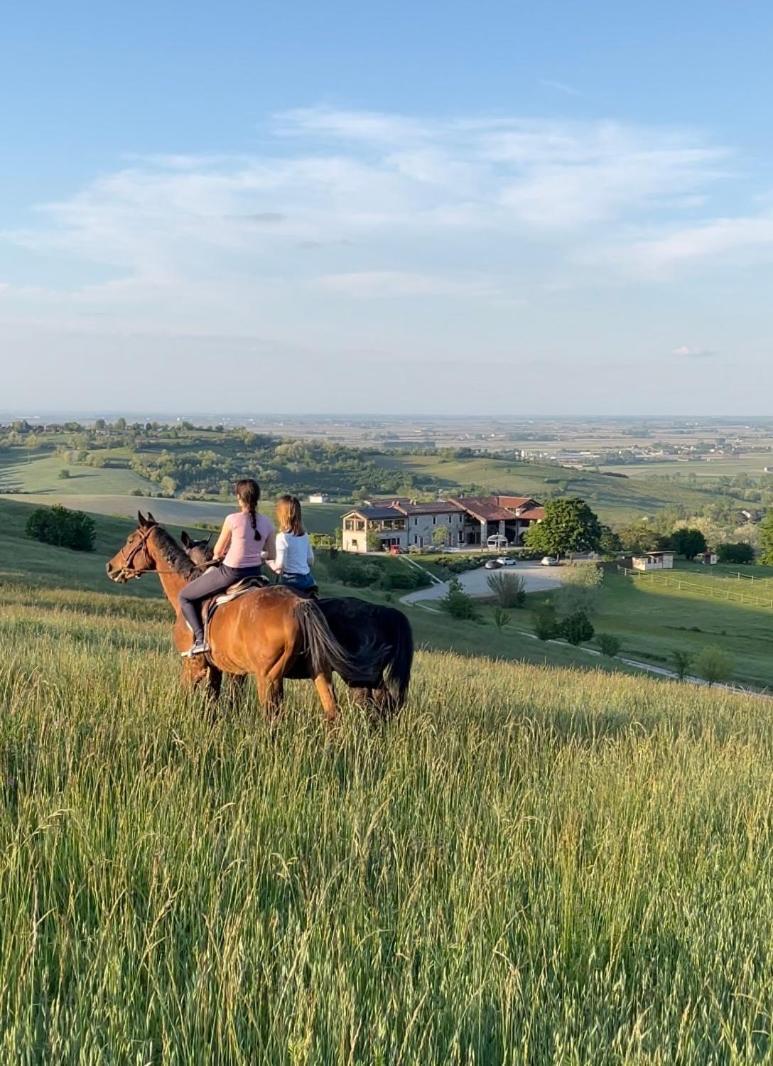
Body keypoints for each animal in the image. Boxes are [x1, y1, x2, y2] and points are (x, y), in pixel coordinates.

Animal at [105, 509, 377, 724]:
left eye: (130, 540)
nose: (111, 567)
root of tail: (301, 604)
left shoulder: (193, 665)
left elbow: (188, 696)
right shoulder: (222, 669)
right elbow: (217, 703)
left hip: (269, 679)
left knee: (273, 719)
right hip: (320, 672)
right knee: (333, 713)